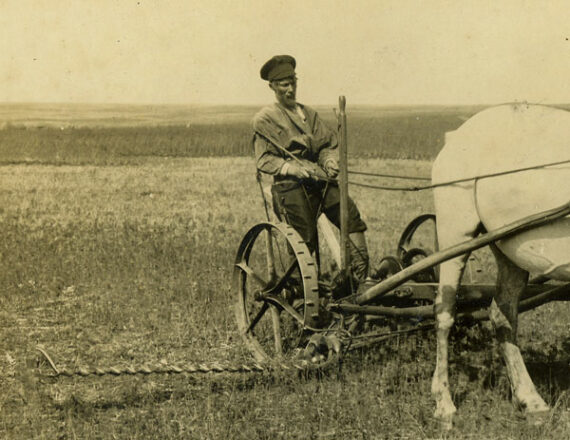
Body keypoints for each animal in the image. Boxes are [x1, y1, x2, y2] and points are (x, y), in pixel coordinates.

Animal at [430, 103, 568, 426]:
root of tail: (457, 135)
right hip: (455, 235)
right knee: (444, 312)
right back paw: (444, 404)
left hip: (507, 245)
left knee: (503, 314)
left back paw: (531, 400)